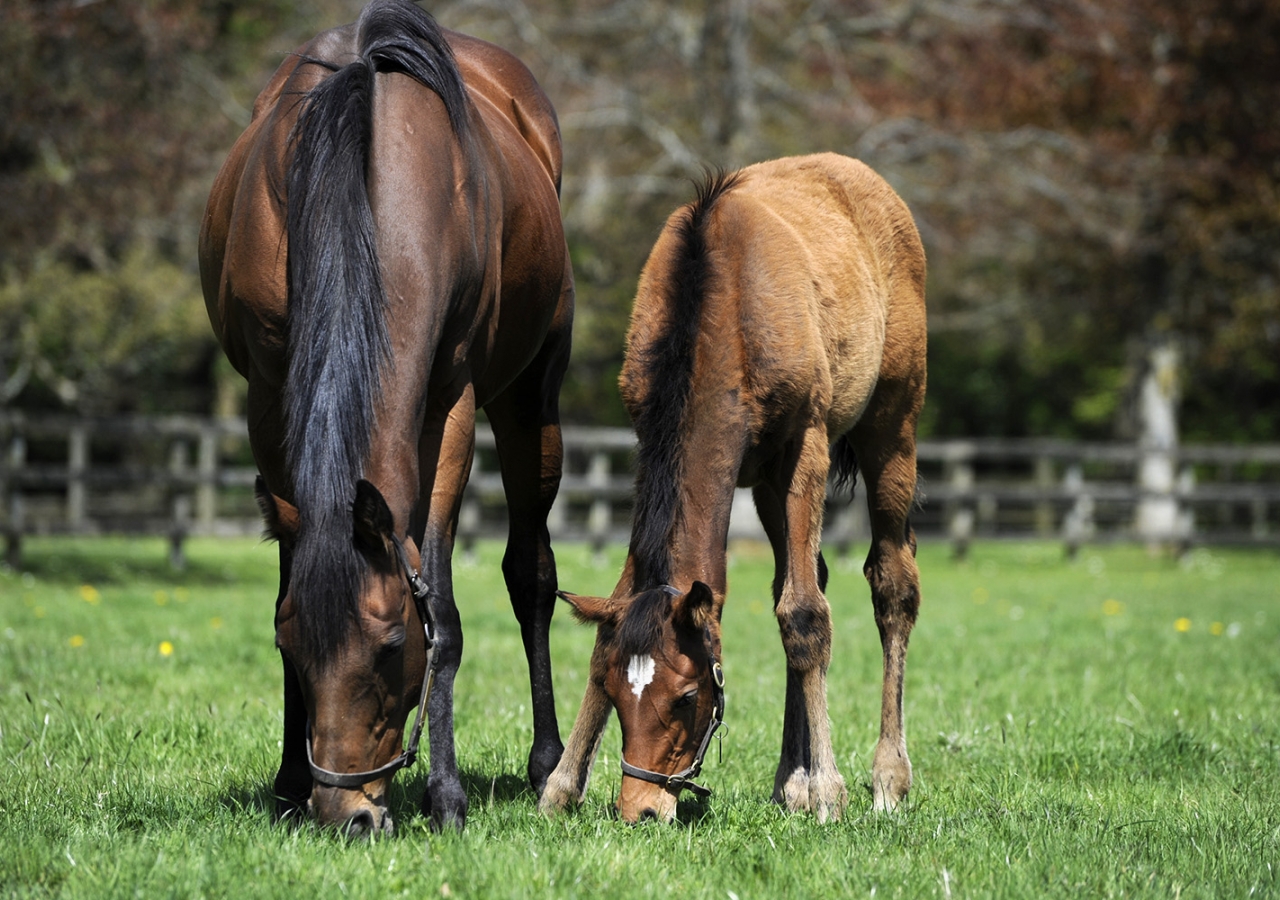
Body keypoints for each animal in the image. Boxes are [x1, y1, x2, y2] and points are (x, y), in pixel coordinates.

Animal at [197, 0, 573, 834]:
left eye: (390, 643)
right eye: (293, 644)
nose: (349, 814)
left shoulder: (451, 403)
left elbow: (448, 611)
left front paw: (446, 796)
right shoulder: (268, 396)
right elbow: (291, 571)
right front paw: (286, 783)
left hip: (532, 400)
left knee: (531, 574)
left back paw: (549, 765)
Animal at [535, 154, 926, 824]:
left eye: (688, 697)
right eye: (615, 689)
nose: (640, 808)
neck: (726, 304)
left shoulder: (806, 444)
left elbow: (805, 618)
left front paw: (829, 792)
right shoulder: (653, 440)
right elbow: (619, 616)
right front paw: (561, 786)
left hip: (892, 428)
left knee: (891, 584)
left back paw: (885, 779)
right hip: (766, 484)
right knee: (803, 577)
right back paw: (789, 780)